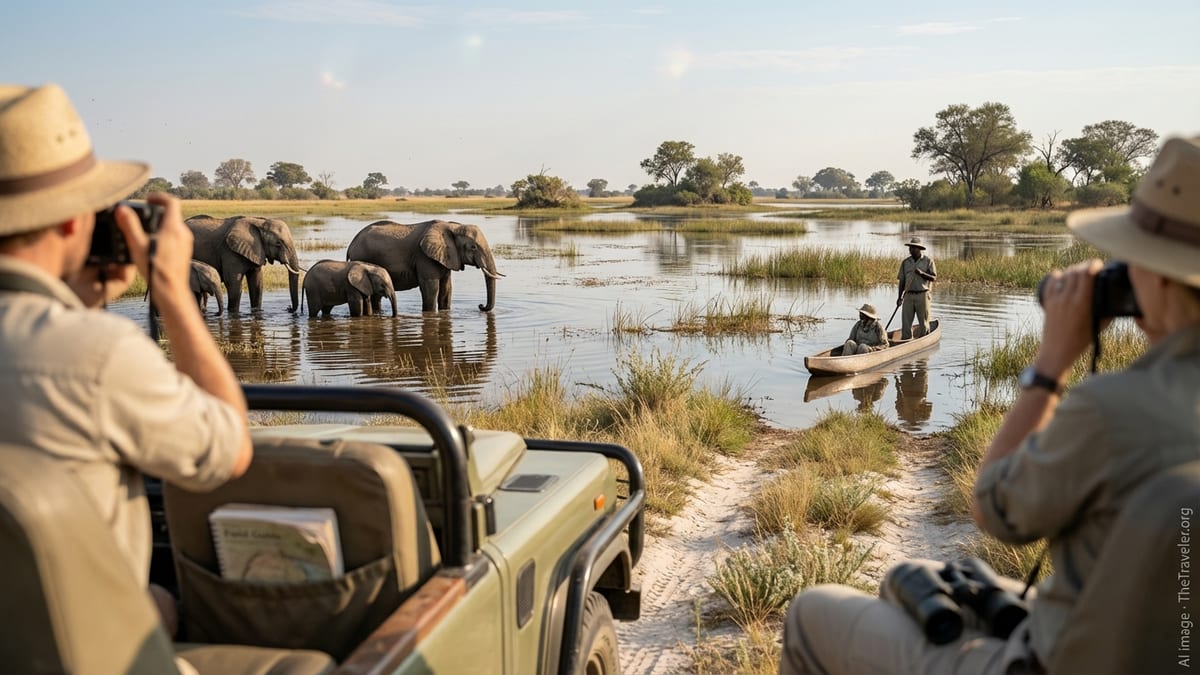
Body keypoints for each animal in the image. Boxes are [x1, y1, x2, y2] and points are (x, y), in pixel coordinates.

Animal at [346, 219, 502, 312]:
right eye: (473, 247)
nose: (481, 306)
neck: (452, 226)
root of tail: (351, 244)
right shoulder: (424, 256)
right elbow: (431, 287)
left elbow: (446, 288)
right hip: (362, 257)